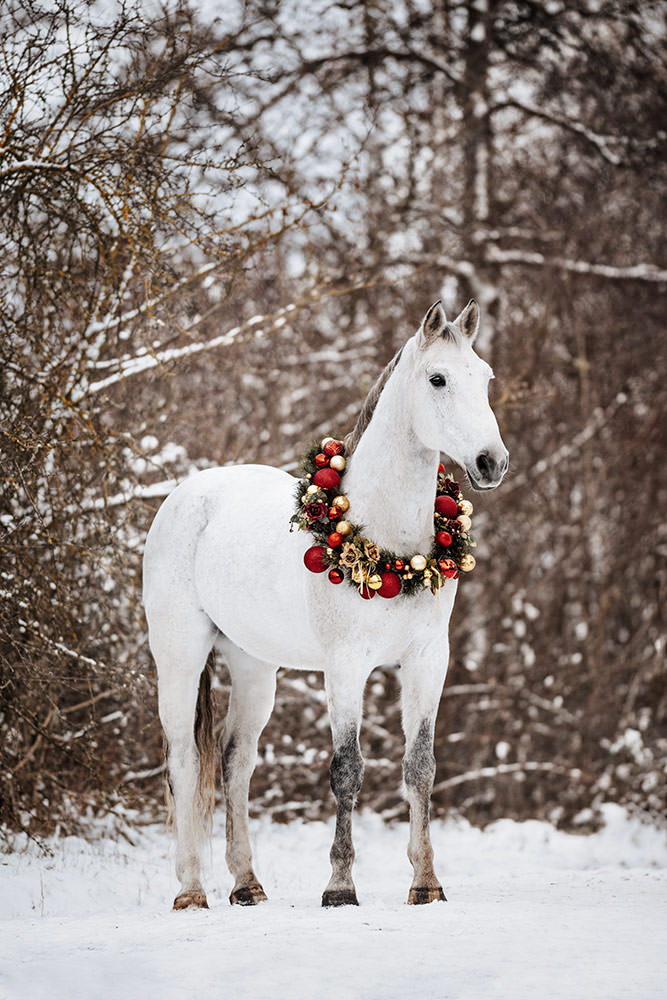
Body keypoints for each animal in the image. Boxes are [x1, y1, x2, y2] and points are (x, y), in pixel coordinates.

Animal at [142, 298, 509, 910]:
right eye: (437, 379)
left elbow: (421, 767)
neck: (389, 547)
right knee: (185, 763)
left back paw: (246, 884)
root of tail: (184, 497)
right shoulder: (345, 667)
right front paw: (340, 886)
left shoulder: (427, 661)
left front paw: (426, 882)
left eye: (485, 378)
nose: (490, 463)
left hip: (254, 666)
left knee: (235, 761)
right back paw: (191, 890)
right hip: (179, 656)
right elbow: (347, 768)